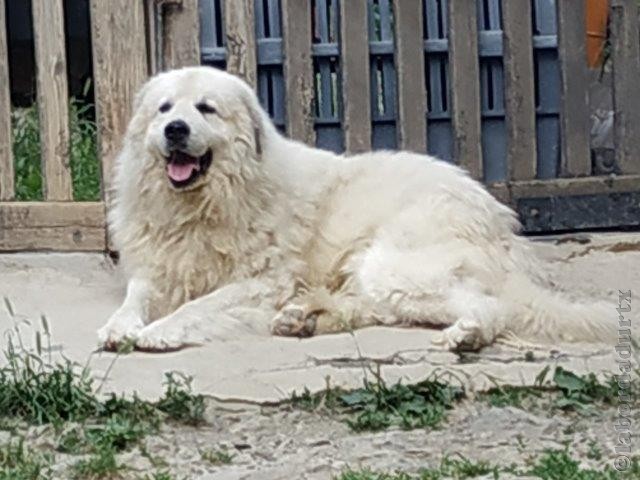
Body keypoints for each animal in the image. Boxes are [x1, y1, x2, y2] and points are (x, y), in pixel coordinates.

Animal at [99, 66, 616, 352]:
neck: (203, 204)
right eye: (165, 108)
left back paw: (465, 334)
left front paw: (161, 331)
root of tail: (498, 217)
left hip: (391, 264)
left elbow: (200, 305)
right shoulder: (158, 267)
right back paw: (302, 319)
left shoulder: (261, 283)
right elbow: (135, 298)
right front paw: (118, 326)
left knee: (488, 306)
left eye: (206, 109)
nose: (176, 130)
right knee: (379, 311)